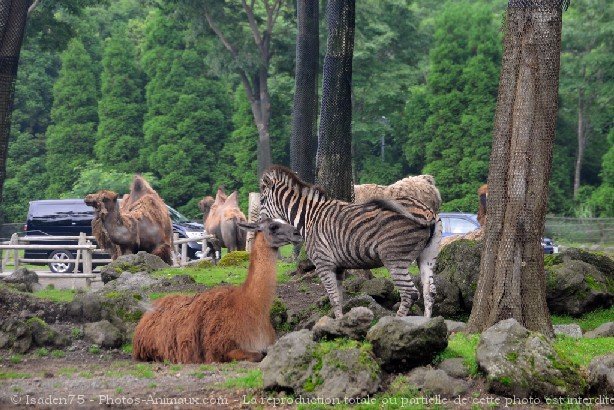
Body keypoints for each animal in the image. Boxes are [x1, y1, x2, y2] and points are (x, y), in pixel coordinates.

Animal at [262, 165, 442, 318]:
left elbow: (333, 298)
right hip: (427, 257)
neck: (309, 216)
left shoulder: (323, 264)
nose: (261, 225)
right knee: (429, 292)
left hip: (395, 259)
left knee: (409, 294)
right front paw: (339, 325)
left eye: (262, 200)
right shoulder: (338, 267)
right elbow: (339, 299)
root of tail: (428, 213)